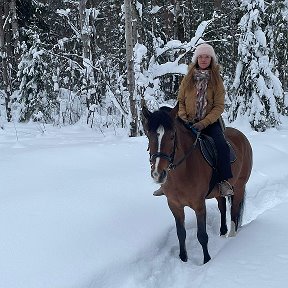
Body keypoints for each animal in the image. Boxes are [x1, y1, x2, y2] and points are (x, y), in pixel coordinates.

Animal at [142, 103, 252, 264]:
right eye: (149, 135)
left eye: (172, 136)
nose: (158, 174)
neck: (183, 171)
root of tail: (242, 136)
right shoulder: (174, 205)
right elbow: (181, 233)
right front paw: (183, 258)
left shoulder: (199, 205)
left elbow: (202, 235)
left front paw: (207, 261)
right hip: (219, 191)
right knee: (222, 207)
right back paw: (222, 232)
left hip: (239, 186)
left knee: (234, 211)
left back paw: (231, 235)